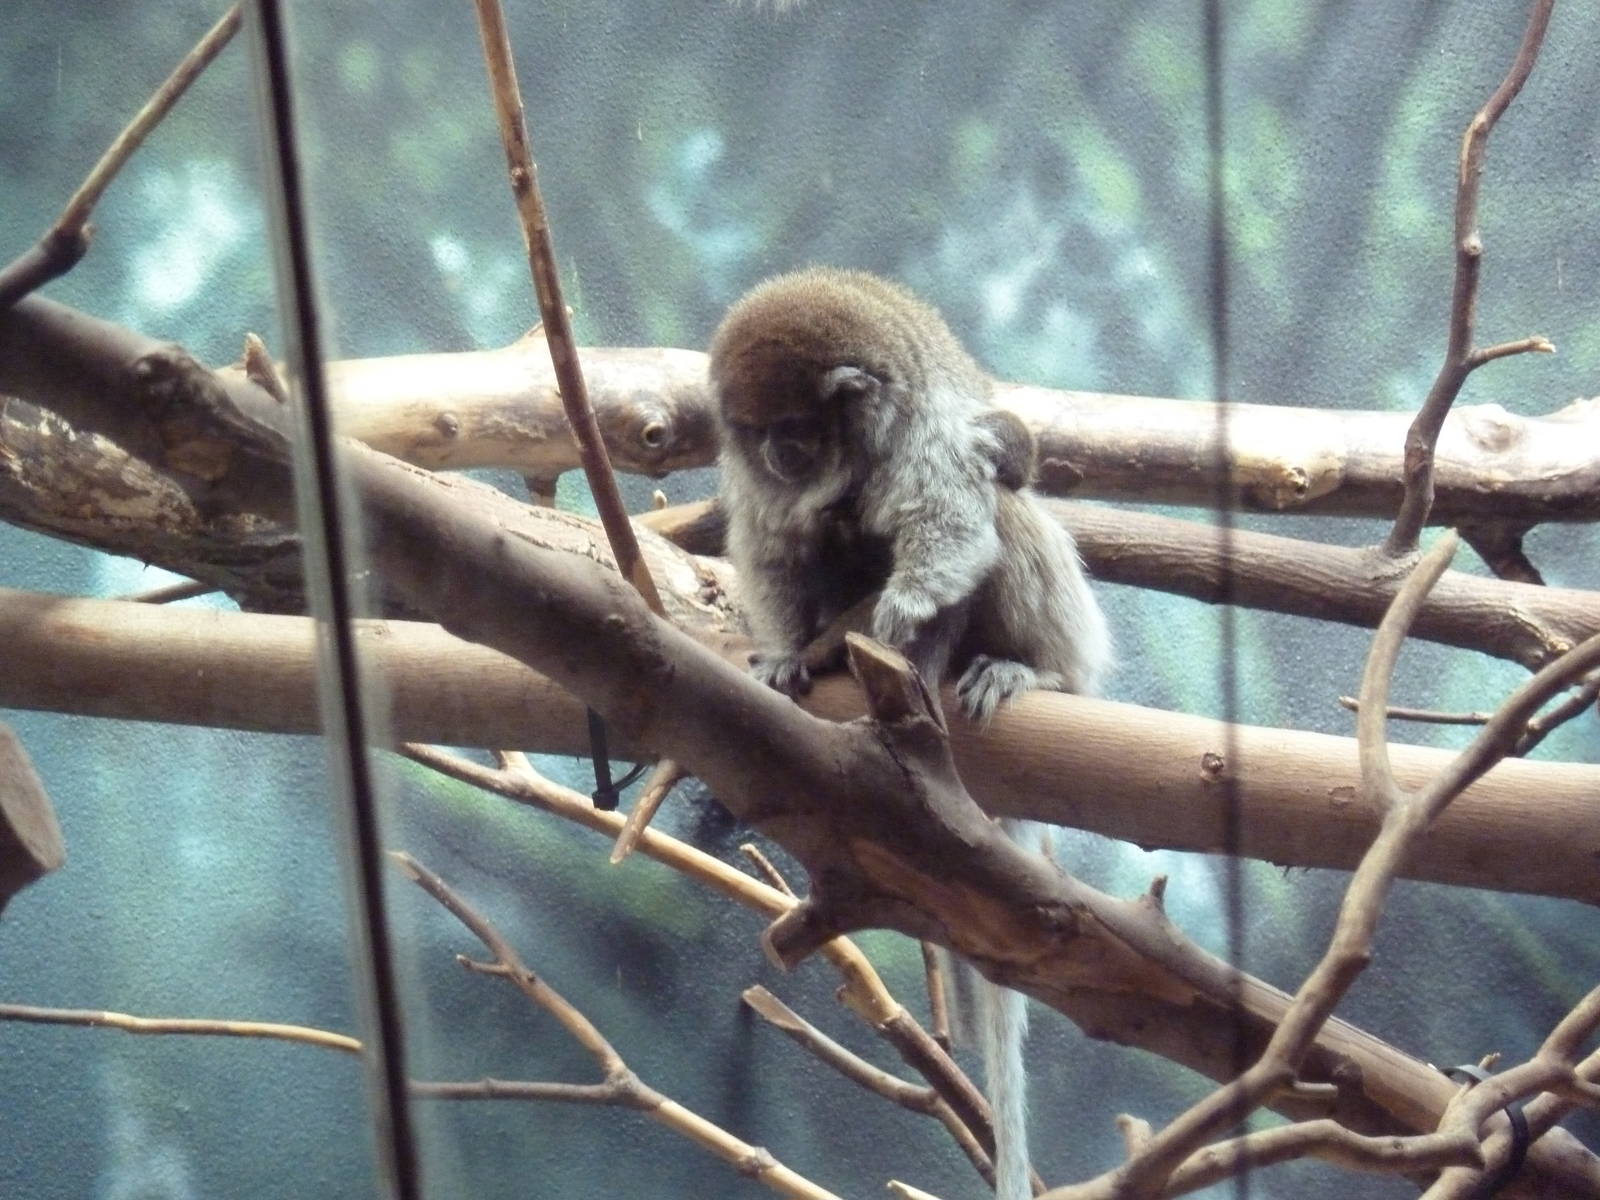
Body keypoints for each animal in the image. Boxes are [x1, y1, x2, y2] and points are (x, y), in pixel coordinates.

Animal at [709, 266, 1111, 1200]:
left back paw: (1031, 672)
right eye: (759, 435)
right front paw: (790, 653)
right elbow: (775, 547)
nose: (778, 457)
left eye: (795, 431)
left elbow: (954, 524)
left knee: (1004, 501)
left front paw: (903, 611)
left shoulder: (923, 439)